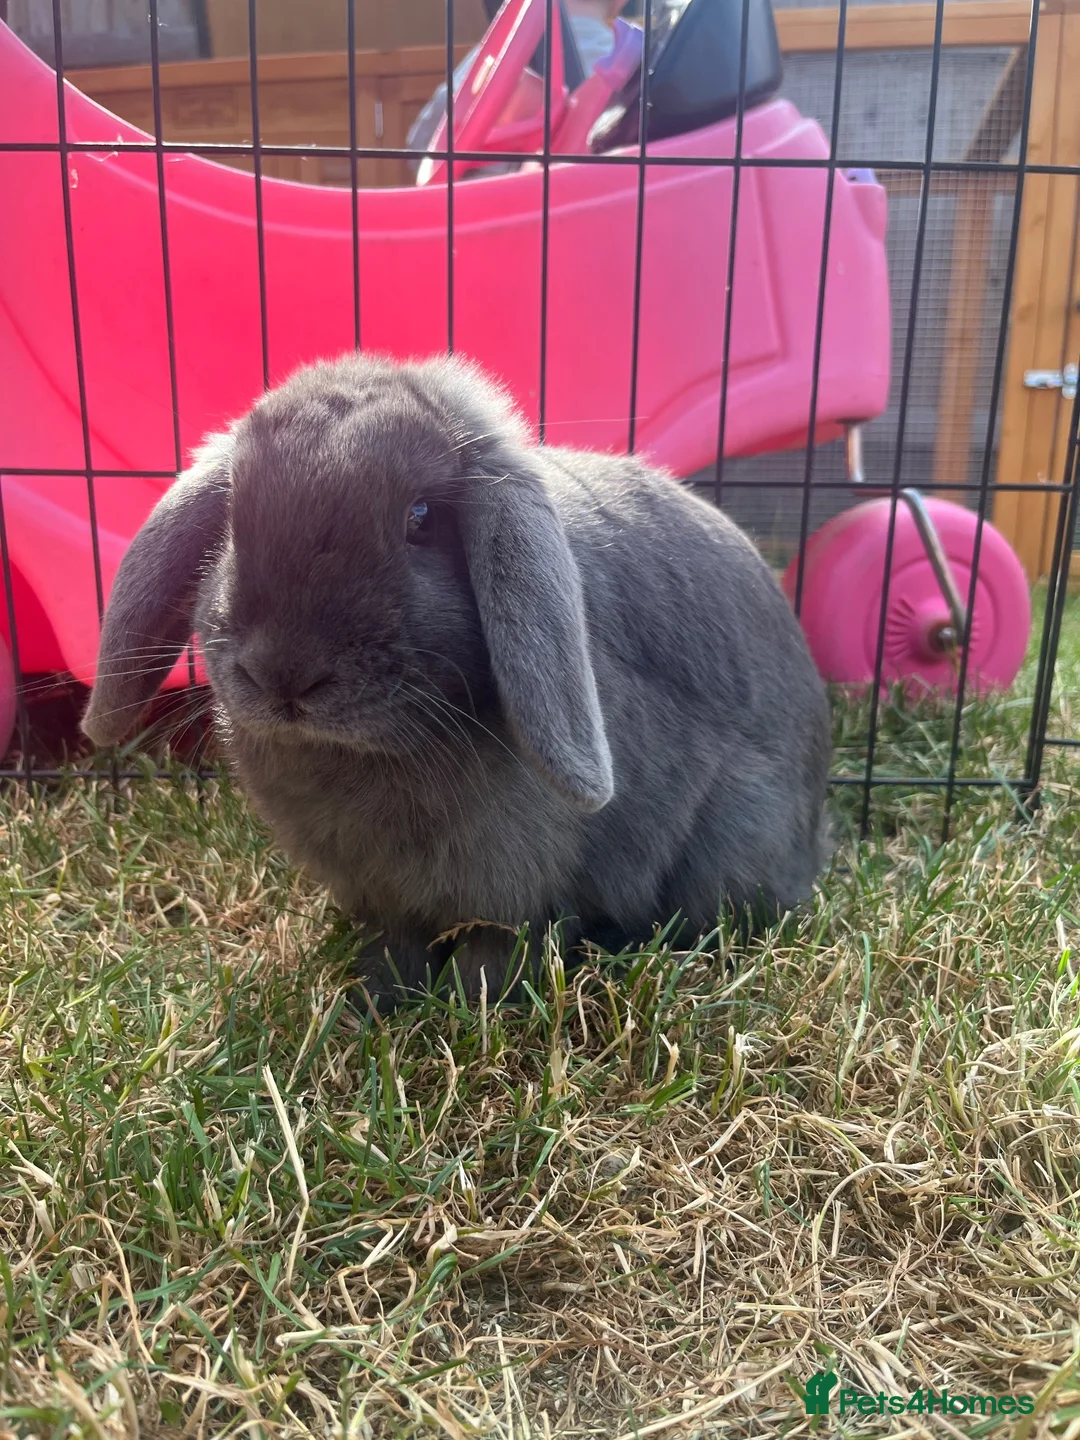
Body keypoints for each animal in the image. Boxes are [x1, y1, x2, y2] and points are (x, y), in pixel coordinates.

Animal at [82, 353, 832, 1006]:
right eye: (235, 519)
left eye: (421, 519)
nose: (284, 675)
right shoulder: (387, 897)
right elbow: (396, 944)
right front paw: (373, 998)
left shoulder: (521, 886)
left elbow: (498, 948)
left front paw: (469, 1004)